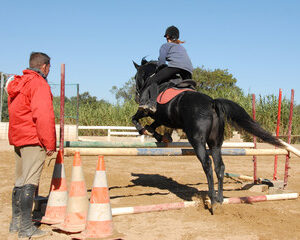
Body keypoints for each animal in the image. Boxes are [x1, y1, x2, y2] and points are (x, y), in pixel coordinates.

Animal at [131, 58, 282, 214]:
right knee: (219, 167)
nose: (137, 96)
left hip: (197, 141)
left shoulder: (148, 111)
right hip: (215, 143)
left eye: (136, 77)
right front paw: (160, 136)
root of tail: (212, 103)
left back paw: (213, 201)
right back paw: (220, 200)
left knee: (207, 164)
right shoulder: (162, 118)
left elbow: (135, 118)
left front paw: (148, 132)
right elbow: (152, 125)